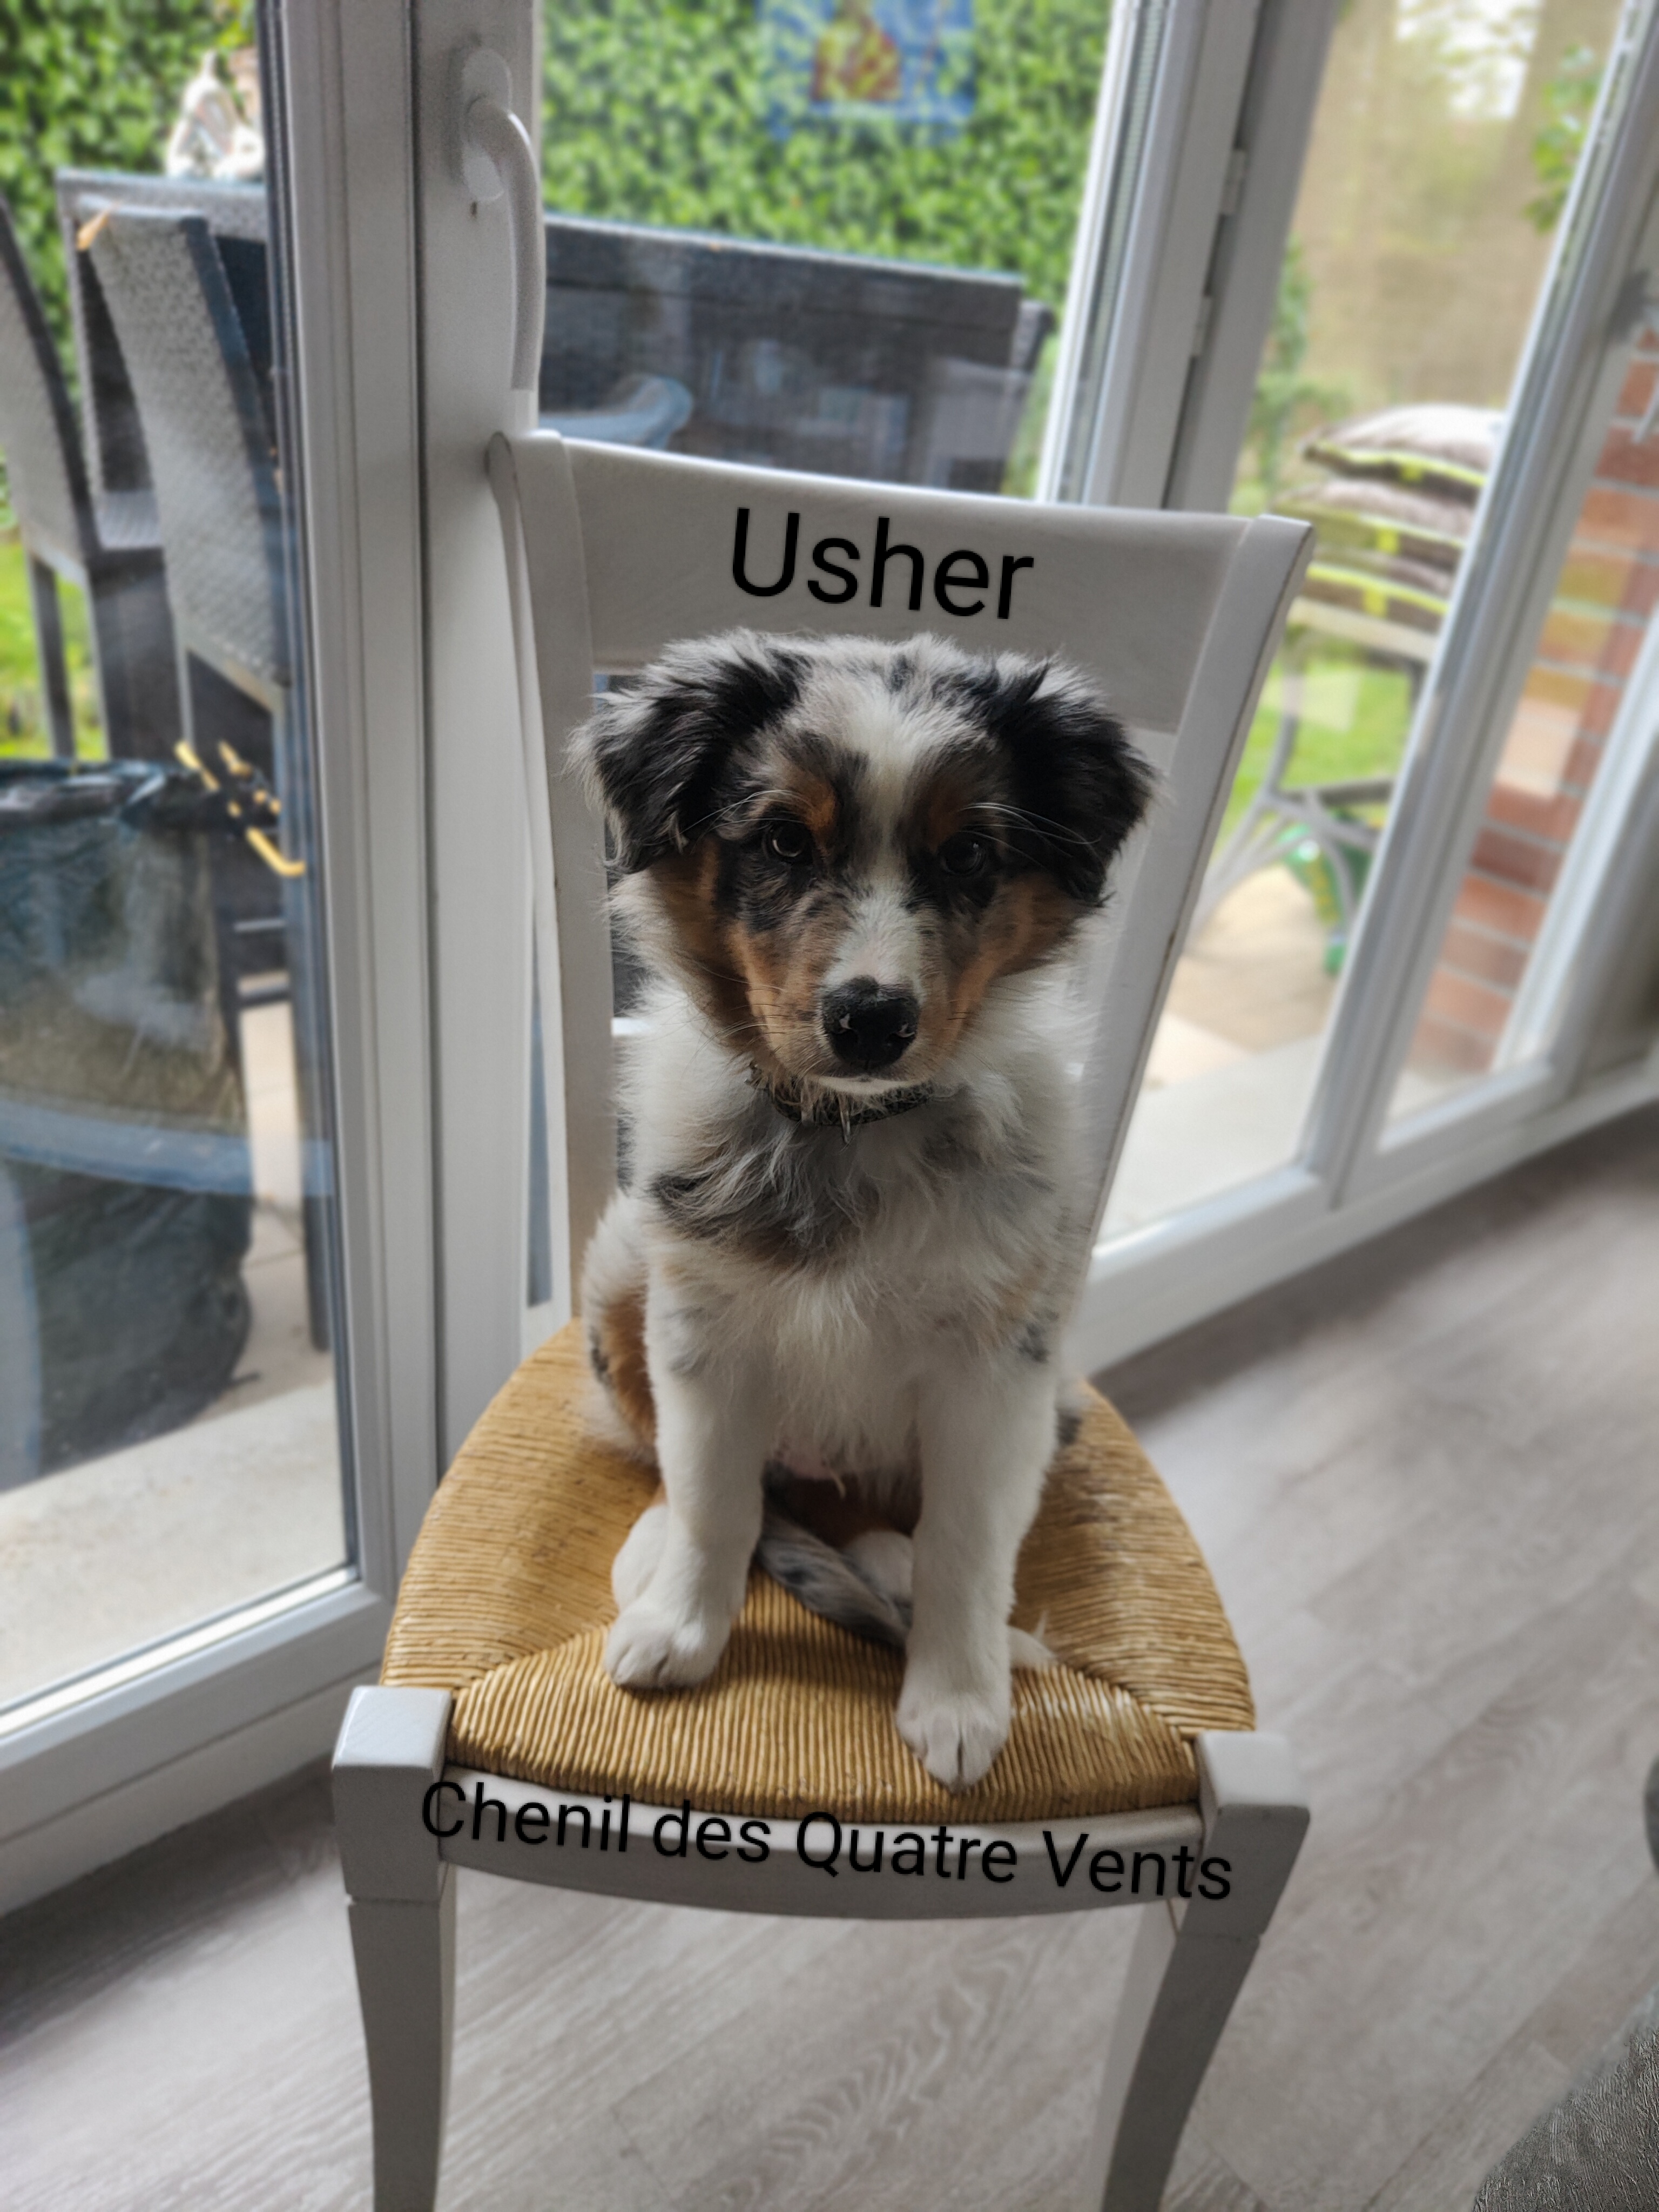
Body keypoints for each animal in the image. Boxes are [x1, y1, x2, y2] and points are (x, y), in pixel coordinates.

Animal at [573, 629, 1151, 1789]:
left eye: (968, 855)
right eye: (783, 841)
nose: (870, 1020)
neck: (847, 1130)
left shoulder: (997, 1361)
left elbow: (968, 1542)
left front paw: (959, 1700)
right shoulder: (701, 1321)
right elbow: (712, 1495)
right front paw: (683, 1628)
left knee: (895, 1522)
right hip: (621, 1269)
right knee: (695, 1472)